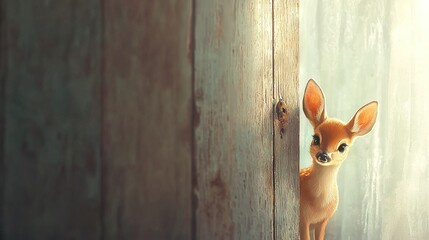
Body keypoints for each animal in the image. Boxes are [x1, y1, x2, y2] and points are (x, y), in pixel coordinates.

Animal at [300, 79, 376, 239]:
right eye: (316, 138)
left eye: (342, 147)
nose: (323, 155)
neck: (319, 203)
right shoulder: (302, 218)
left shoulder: (323, 221)